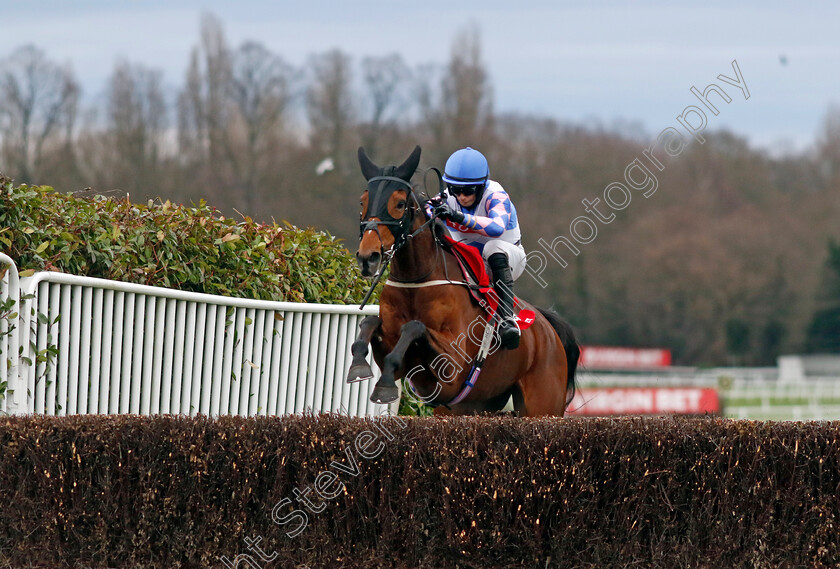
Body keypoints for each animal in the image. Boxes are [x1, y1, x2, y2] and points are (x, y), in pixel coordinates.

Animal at [346, 144, 576, 414]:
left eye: (400, 203)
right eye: (363, 202)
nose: (367, 257)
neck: (416, 282)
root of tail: (548, 329)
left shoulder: (452, 366)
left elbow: (414, 326)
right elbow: (370, 323)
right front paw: (358, 366)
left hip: (542, 405)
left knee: (498, 251)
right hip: (472, 405)